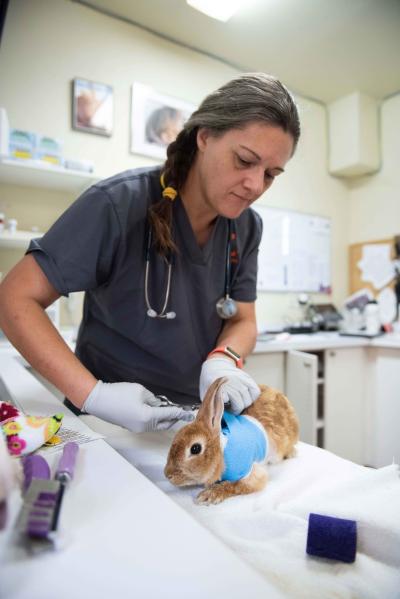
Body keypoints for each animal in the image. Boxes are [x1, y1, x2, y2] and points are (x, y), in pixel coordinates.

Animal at [164, 378, 298, 504]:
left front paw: (209, 495)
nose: (167, 475)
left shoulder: (250, 473)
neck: (222, 451)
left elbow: (236, 485)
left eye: (195, 448)